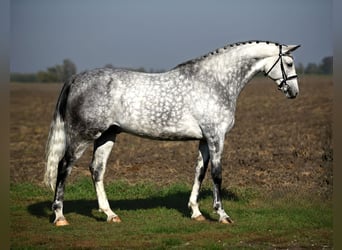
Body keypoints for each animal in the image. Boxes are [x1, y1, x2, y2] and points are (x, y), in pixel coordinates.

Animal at [44, 40, 300, 226]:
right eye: (288, 63)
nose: (294, 92)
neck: (215, 81)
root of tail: (75, 79)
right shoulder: (216, 137)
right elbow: (217, 174)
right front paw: (222, 215)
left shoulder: (204, 140)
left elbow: (199, 172)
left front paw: (196, 212)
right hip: (82, 136)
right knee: (63, 167)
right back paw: (60, 216)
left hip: (107, 135)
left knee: (96, 170)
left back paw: (110, 214)